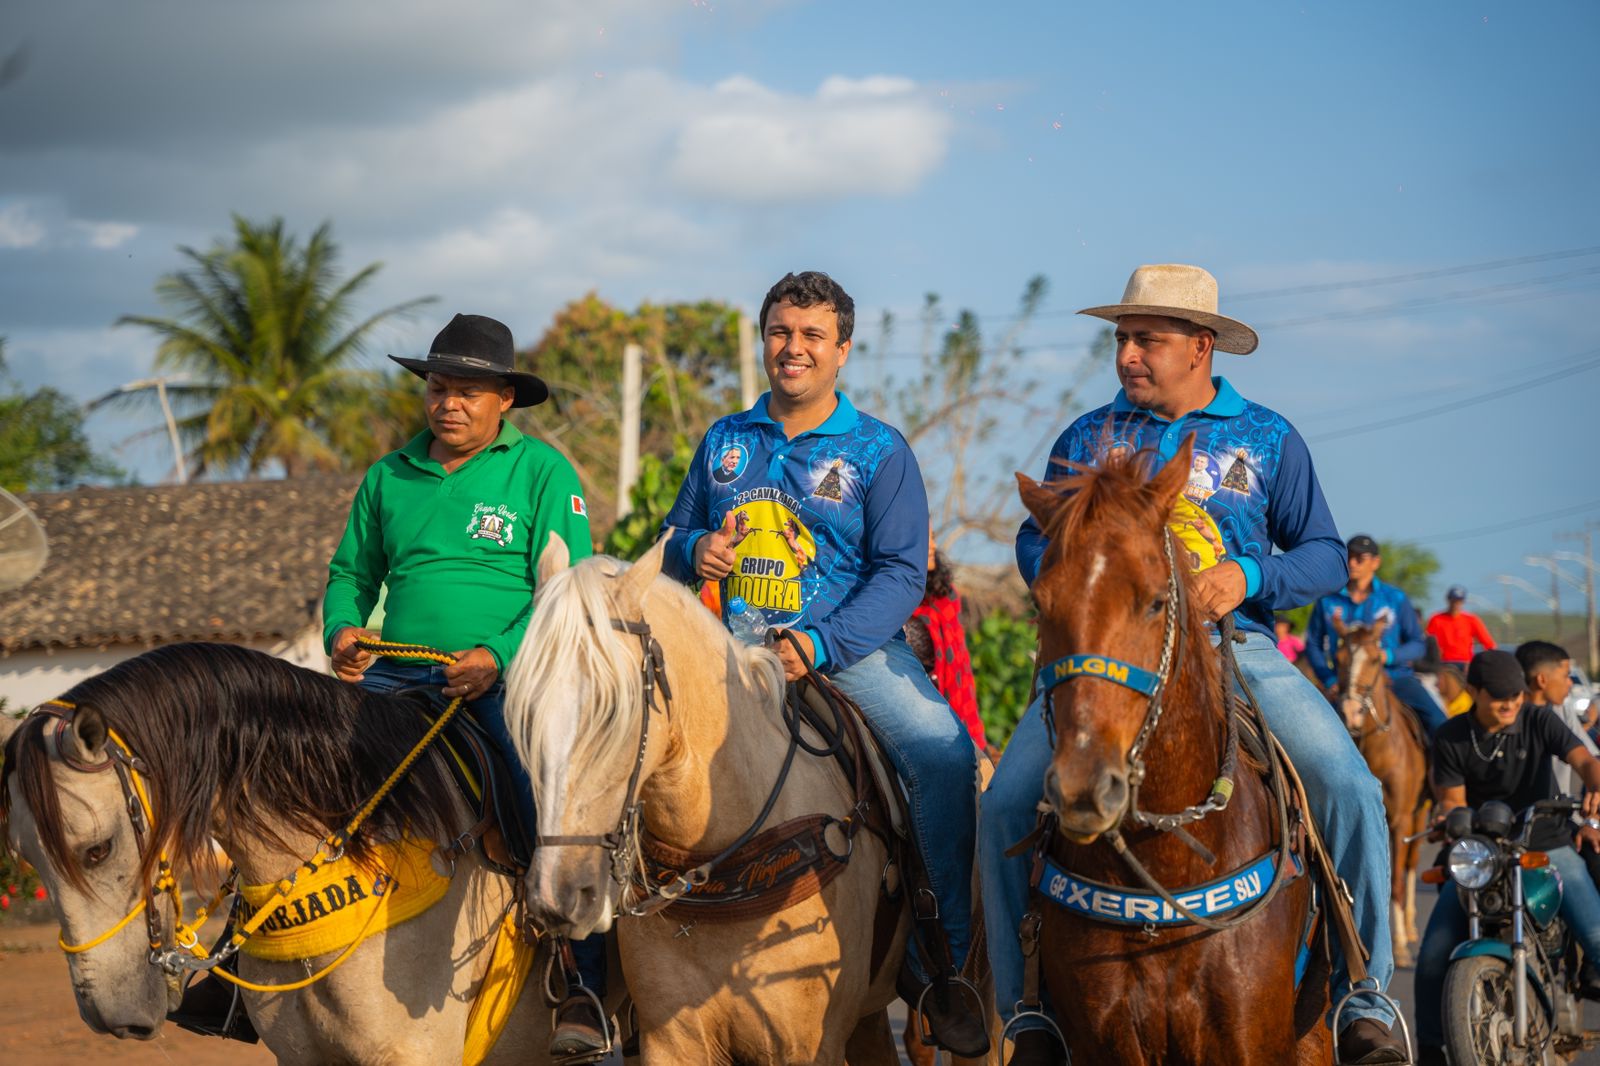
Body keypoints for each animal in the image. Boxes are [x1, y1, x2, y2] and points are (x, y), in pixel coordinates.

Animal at [1331, 617, 1433, 966]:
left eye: (1376, 660)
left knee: (1411, 865)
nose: (1350, 712)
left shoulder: (1400, 820)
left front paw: (1400, 946)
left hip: (1420, 815)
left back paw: (1411, 929)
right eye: (1338, 658)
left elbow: (1397, 882)